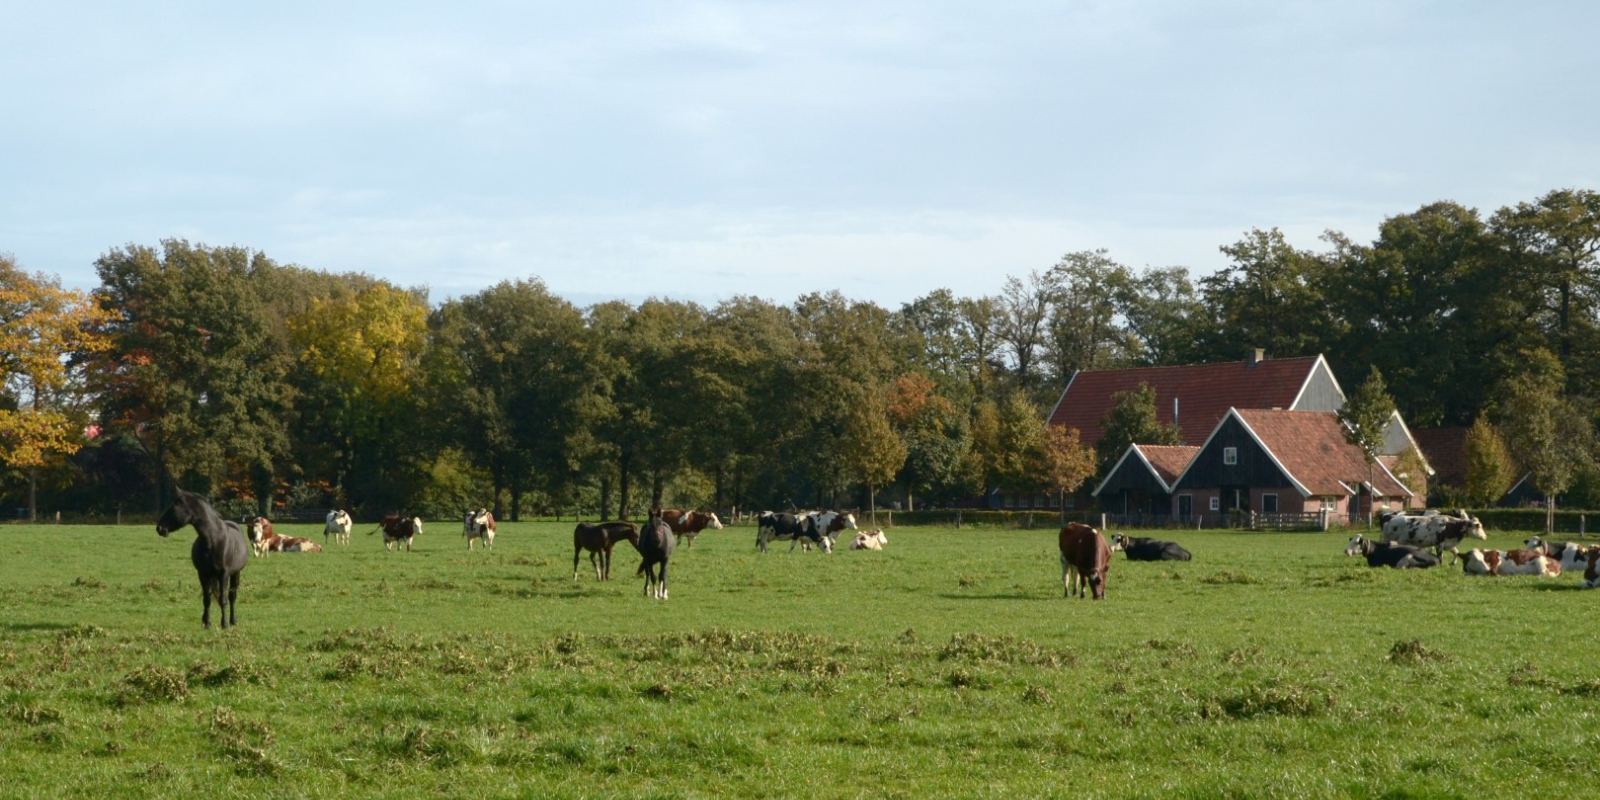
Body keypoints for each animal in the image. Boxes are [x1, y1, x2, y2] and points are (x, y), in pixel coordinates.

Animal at [156, 486, 249, 630]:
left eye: (174, 507)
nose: (159, 528)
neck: (213, 540)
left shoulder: (224, 574)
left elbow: (223, 599)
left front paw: (224, 624)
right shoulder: (203, 573)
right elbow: (207, 598)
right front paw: (207, 623)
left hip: (236, 573)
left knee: (232, 595)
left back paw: (233, 621)